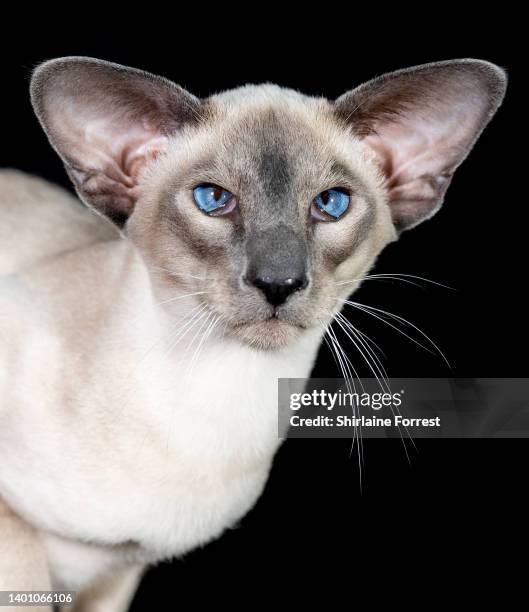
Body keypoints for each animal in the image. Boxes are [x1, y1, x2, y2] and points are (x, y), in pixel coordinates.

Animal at [0, 56, 506, 608]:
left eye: (332, 204)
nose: (278, 282)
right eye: (213, 199)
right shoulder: (15, 532)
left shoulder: (117, 576)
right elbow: (25, 570)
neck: (217, 397)